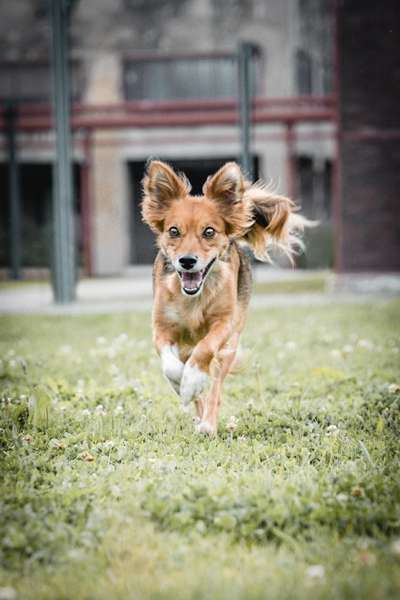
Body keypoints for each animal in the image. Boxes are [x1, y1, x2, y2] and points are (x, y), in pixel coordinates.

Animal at [142, 159, 308, 436]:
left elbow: (205, 349)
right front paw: (181, 384)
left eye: (209, 232)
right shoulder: (162, 327)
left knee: (215, 386)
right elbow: (170, 365)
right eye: (174, 231)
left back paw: (208, 423)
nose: (187, 261)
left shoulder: (225, 324)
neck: (194, 297)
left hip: (230, 346)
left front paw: (192, 381)